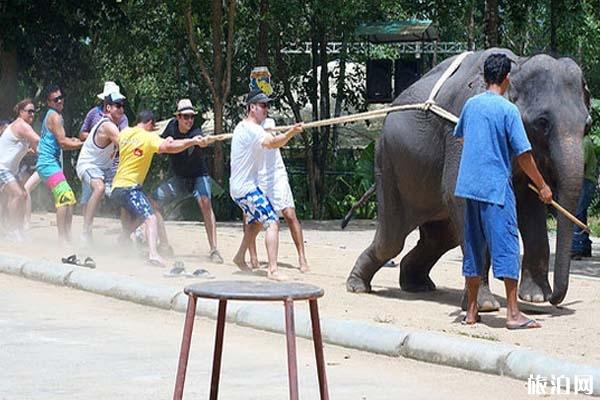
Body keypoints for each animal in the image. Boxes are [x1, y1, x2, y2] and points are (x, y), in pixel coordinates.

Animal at [346, 48, 592, 308]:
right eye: (542, 122)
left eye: (587, 126)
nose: (555, 299)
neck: (518, 65)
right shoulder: (462, 128)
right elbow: (460, 196)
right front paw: (486, 305)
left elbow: (531, 203)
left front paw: (536, 297)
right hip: (389, 166)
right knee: (392, 240)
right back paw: (358, 285)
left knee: (441, 238)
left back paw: (417, 285)